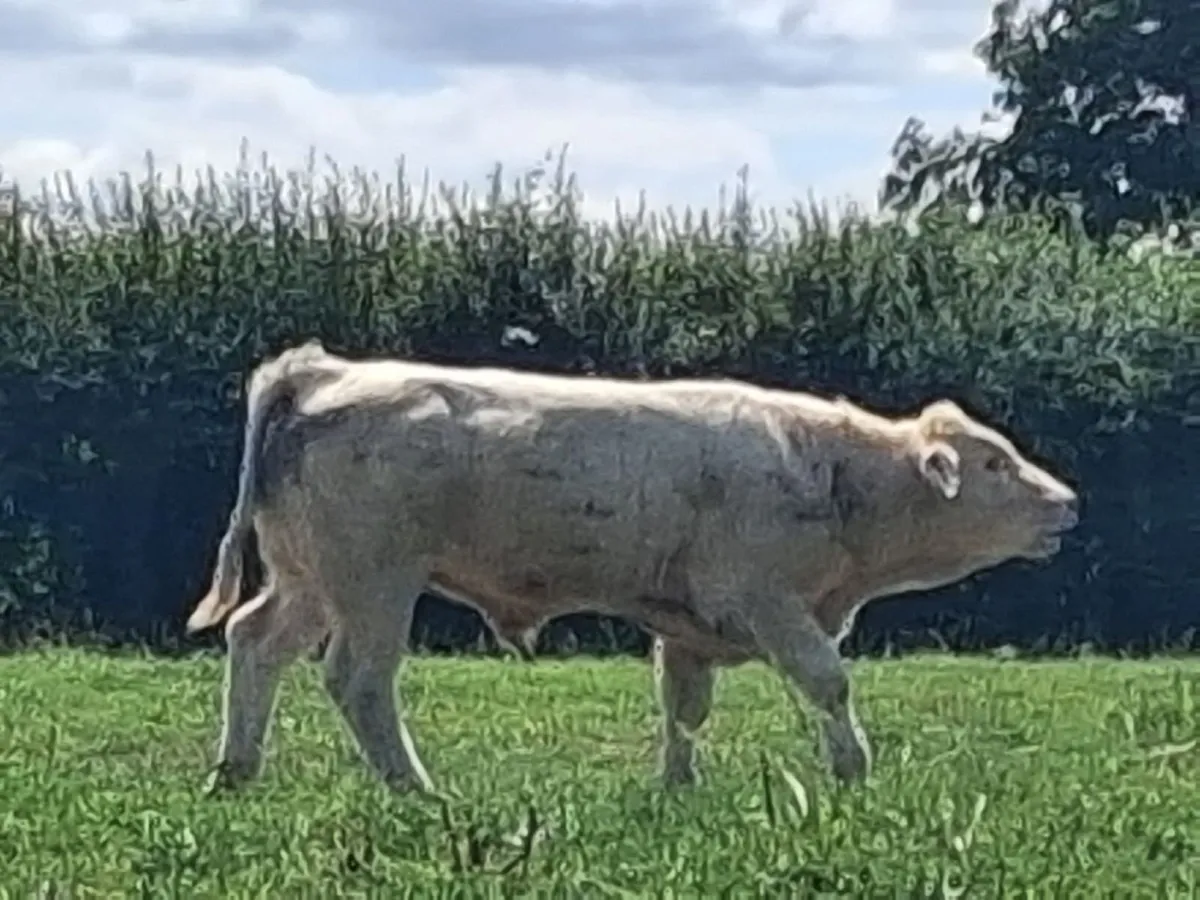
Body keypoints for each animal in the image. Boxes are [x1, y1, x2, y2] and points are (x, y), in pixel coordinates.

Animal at [186, 339, 1079, 795]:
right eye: (994, 464)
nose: (1066, 502)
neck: (830, 474)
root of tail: (324, 370)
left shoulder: (686, 628)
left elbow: (683, 709)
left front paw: (678, 787)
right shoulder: (768, 601)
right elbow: (828, 681)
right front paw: (853, 773)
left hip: (309, 579)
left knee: (255, 643)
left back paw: (236, 771)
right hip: (373, 583)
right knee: (359, 679)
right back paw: (417, 789)